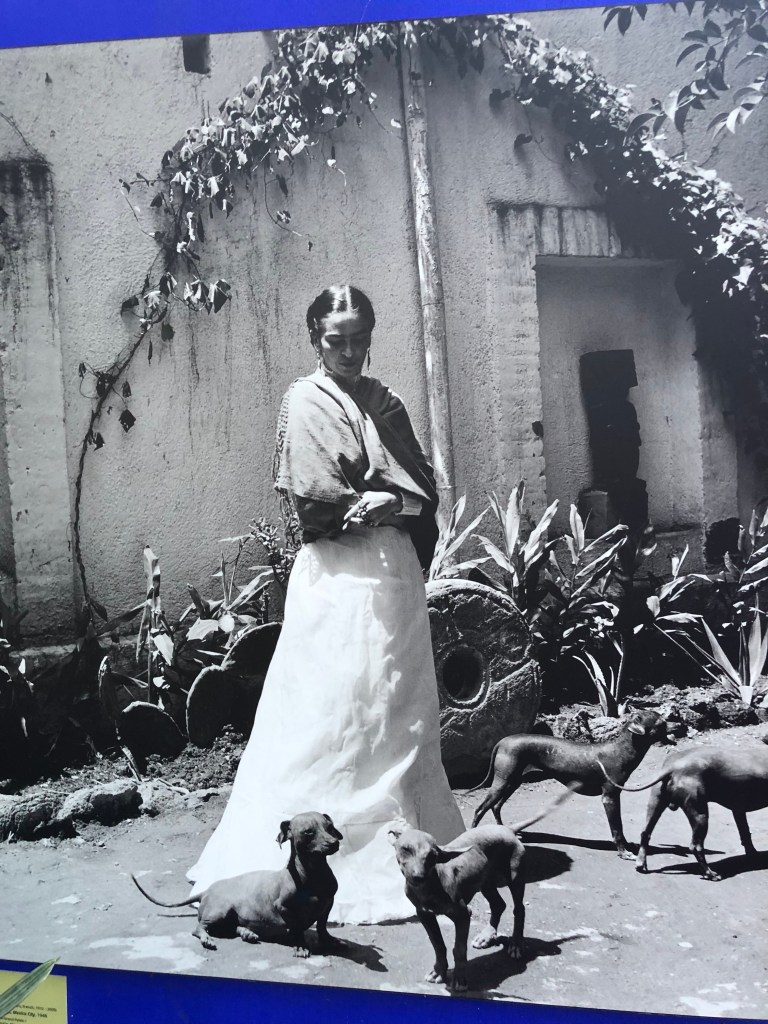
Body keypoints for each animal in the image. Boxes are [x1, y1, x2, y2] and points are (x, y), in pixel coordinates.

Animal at [132, 811, 343, 956]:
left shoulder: (328, 903)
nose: (334, 843)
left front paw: (328, 940)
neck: (313, 875)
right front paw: (300, 946)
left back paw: (247, 933)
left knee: (230, 927)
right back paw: (208, 939)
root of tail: (205, 890)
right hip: (219, 911)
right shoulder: (283, 908)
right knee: (199, 928)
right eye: (308, 832)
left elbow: (322, 926)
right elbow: (298, 928)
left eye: (329, 827)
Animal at [389, 792, 573, 992]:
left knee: (519, 909)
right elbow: (438, 945)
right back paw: (487, 936)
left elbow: (458, 949)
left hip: (515, 878)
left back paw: (516, 944)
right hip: (485, 882)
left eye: (432, 856)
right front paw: (438, 971)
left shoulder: (463, 914)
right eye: (405, 849)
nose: (418, 877)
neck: (430, 886)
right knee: (499, 905)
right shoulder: (424, 914)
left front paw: (459, 979)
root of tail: (507, 829)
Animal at [471, 710, 674, 858]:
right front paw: (623, 852)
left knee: (495, 806)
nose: (676, 722)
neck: (621, 750)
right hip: (503, 782)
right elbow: (617, 828)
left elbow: (619, 827)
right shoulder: (610, 798)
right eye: (661, 723)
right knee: (480, 809)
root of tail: (503, 740)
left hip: (512, 782)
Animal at [598, 743, 768, 880]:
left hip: (656, 803)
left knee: (645, 833)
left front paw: (752, 854)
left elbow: (745, 833)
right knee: (695, 846)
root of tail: (674, 766)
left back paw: (641, 863)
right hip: (700, 815)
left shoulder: (738, 809)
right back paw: (710, 873)